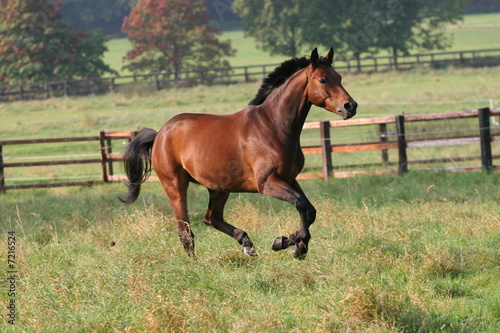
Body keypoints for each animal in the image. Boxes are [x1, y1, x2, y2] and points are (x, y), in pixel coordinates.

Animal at [119, 47, 358, 260]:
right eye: (323, 80)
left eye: (339, 77)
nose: (350, 106)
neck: (273, 126)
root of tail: (161, 133)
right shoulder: (267, 182)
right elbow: (301, 205)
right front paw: (293, 245)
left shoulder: (290, 179)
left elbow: (310, 210)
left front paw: (290, 243)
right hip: (175, 186)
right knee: (185, 231)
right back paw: (196, 264)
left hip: (219, 188)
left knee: (212, 218)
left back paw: (247, 245)